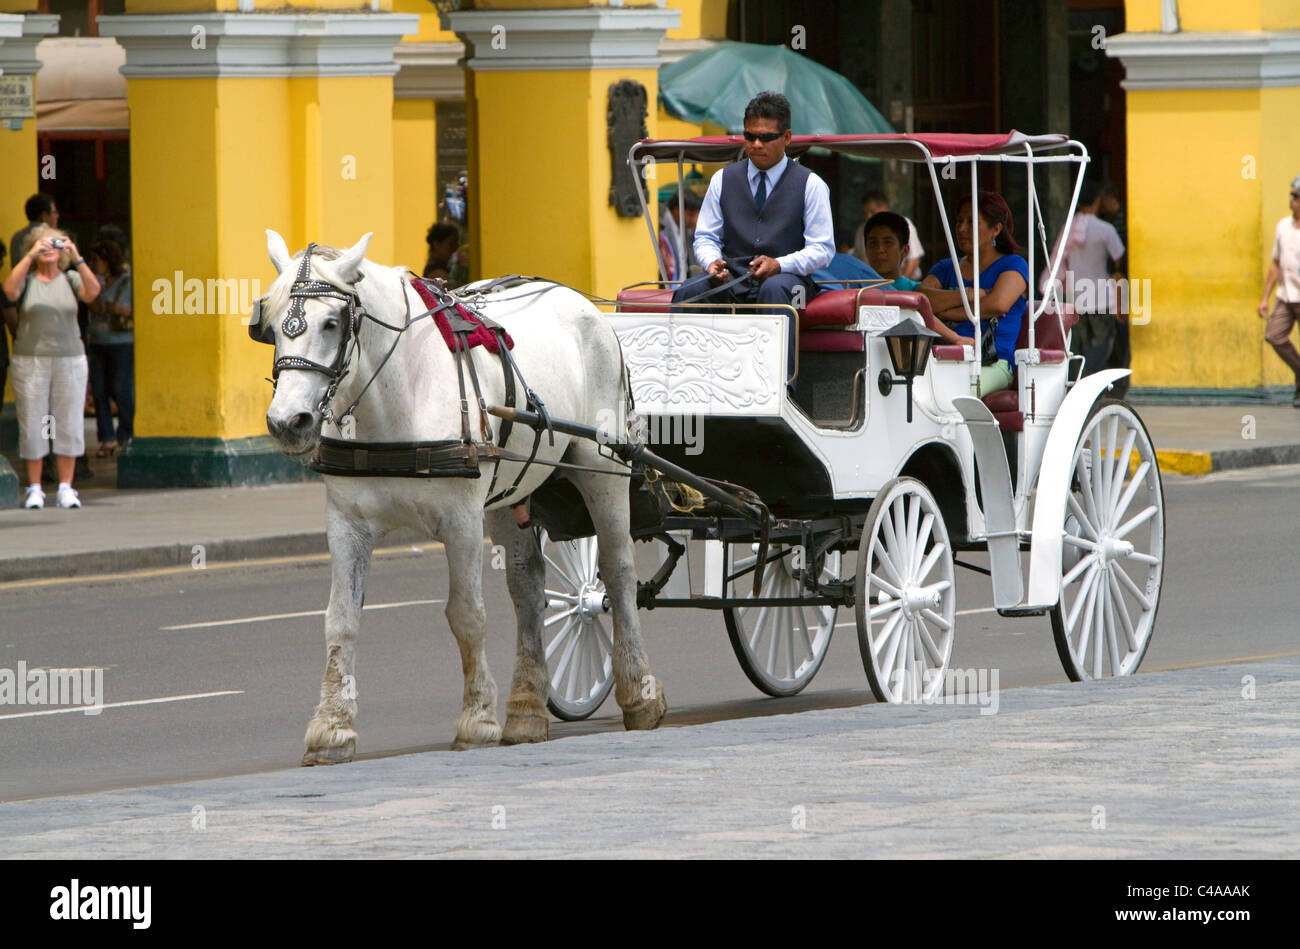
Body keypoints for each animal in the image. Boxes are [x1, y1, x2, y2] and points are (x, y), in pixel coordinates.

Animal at [252, 228, 665, 759]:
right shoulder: (347, 522)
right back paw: (526, 709)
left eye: (331, 323)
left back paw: (640, 693)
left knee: (617, 573)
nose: (288, 422)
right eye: (272, 324)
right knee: (528, 587)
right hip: (510, 492)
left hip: (602, 469)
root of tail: (578, 300)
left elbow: (467, 615)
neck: (399, 398)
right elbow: (340, 620)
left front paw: (477, 719)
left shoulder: (461, 519)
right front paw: (331, 728)